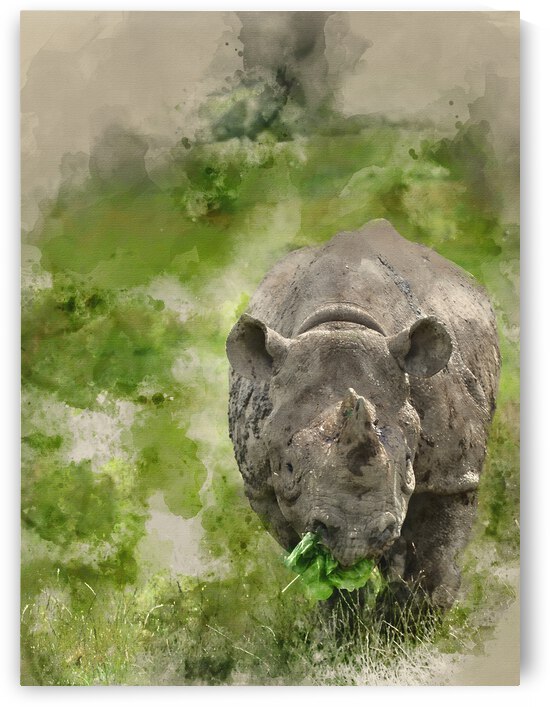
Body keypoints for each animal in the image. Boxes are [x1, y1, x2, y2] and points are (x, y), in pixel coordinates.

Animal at [226, 219, 500, 608]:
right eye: (289, 466)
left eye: (407, 460)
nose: (355, 535)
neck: (341, 322)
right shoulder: (262, 486)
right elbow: (319, 572)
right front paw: (342, 617)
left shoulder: (454, 474)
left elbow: (434, 559)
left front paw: (414, 618)